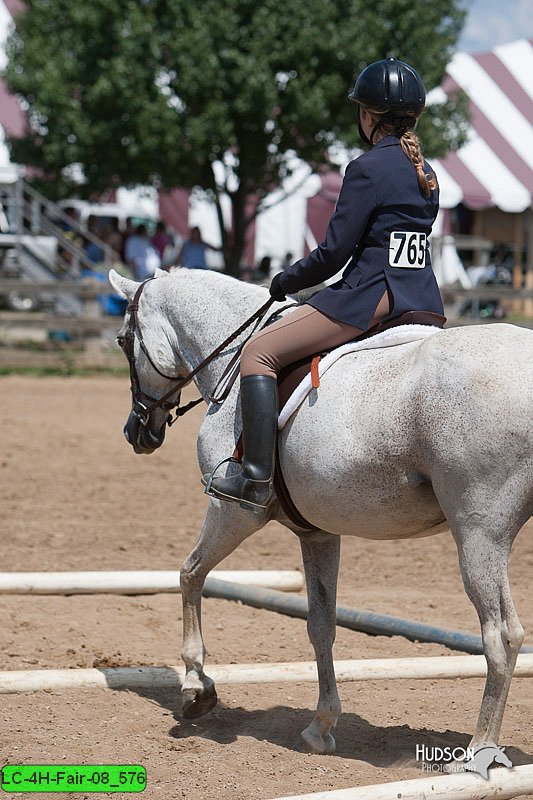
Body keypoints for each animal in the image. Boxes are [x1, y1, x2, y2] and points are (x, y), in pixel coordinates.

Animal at [108, 268, 532, 756]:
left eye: (123, 340)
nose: (136, 431)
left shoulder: (232, 510)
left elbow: (190, 574)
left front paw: (196, 687)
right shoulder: (317, 533)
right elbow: (321, 625)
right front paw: (321, 725)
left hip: (479, 536)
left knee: (501, 635)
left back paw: (480, 750)